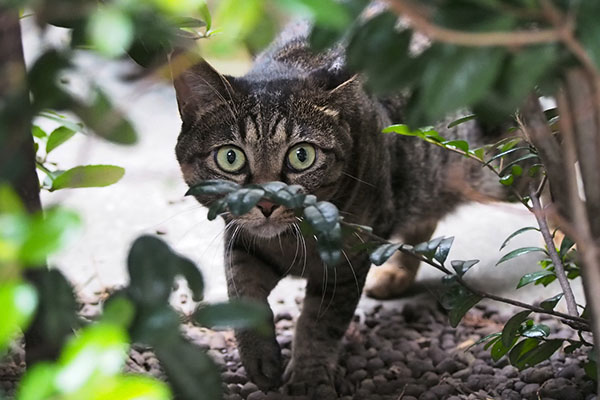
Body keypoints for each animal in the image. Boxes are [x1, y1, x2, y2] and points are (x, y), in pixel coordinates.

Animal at [171, 21, 504, 396]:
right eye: (231, 157)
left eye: (301, 156)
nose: (268, 202)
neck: (291, 241)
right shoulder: (242, 242)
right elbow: (243, 295)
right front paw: (260, 358)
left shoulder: (347, 262)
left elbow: (320, 323)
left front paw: (308, 378)